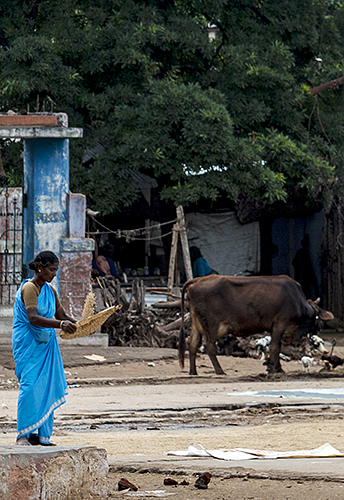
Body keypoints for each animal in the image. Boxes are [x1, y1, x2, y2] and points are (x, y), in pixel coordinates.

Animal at [179, 274, 334, 376]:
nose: (319, 329)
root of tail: (199, 279)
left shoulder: (274, 328)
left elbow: (274, 348)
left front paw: (271, 367)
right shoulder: (280, 324)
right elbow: (275, 347)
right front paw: (277, 369)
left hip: (196, 323)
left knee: (192, 343)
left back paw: (193, 372)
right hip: (211, 326)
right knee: (209, 347)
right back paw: (219, 371)